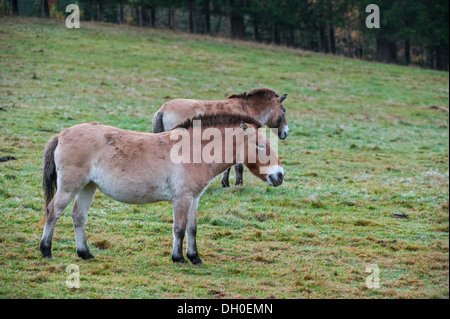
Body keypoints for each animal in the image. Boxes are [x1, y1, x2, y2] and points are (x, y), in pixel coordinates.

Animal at [40, 114, 284, 266]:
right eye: (259, 145)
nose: (279, 175)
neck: (193, 150)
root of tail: (62, 134)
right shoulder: (181, 199)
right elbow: (179, 228)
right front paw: (178, 258)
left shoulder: (194, 199)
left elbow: (192, 228)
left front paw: (195, 257)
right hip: (71, 186)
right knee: (53, 211)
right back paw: (46, 250)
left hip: (87, 187)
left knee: (78, 216)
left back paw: (85, 253)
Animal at [153, 87, 290, 188]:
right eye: (284, 111)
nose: (286, 132)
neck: (245, 108)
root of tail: (163, 109)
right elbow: (238, 167)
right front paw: (237, 184)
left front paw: (225, 183)